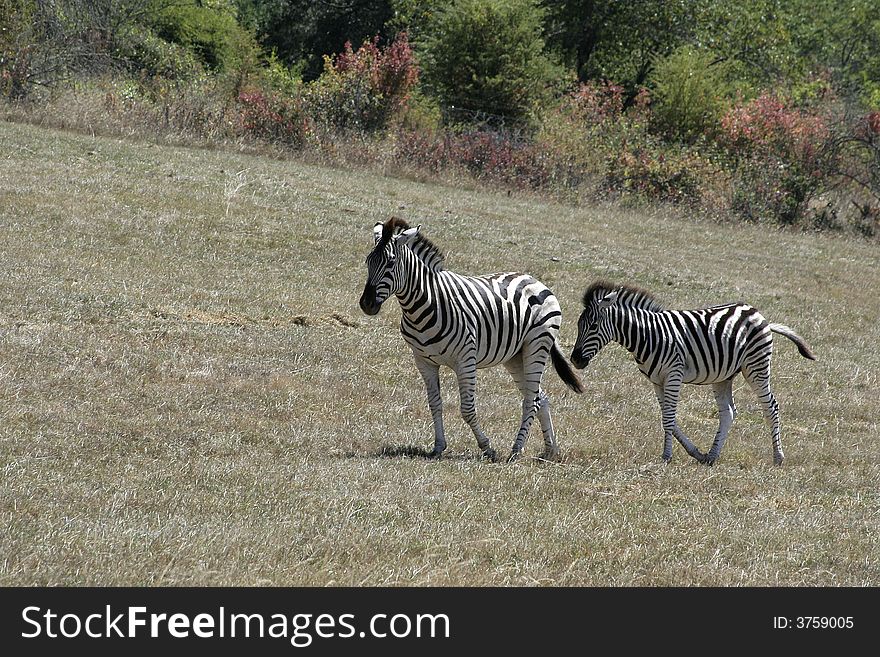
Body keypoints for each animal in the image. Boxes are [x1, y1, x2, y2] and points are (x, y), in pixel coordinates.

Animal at [358, 217, 584, 462]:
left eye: (391, 263)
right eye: (368, 261)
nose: (366, 304)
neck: (424, 304)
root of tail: (534, 280)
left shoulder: (465, 359)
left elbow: (467, 409)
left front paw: (487, 447)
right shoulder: (423, 361)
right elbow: (434, 404)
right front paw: (438, 446)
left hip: (537, 345)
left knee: (531, 401)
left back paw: (516, 450)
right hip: (515, 356)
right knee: (540, 397)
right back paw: (550, 449)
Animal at [572, 282, 820, 466]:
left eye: (593, 326)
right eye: (578, 325)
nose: (575, 359)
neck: (646, 335)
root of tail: (757, 312)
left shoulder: (673, 375)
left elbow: (669, 419)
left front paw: (666, 456)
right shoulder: (656, 381)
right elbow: (668, 418)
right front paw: (696, 453)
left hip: (756, 366)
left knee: (771, 407)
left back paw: (778, 457)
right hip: (723, 376)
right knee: (728, 412)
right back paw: (711, 456)